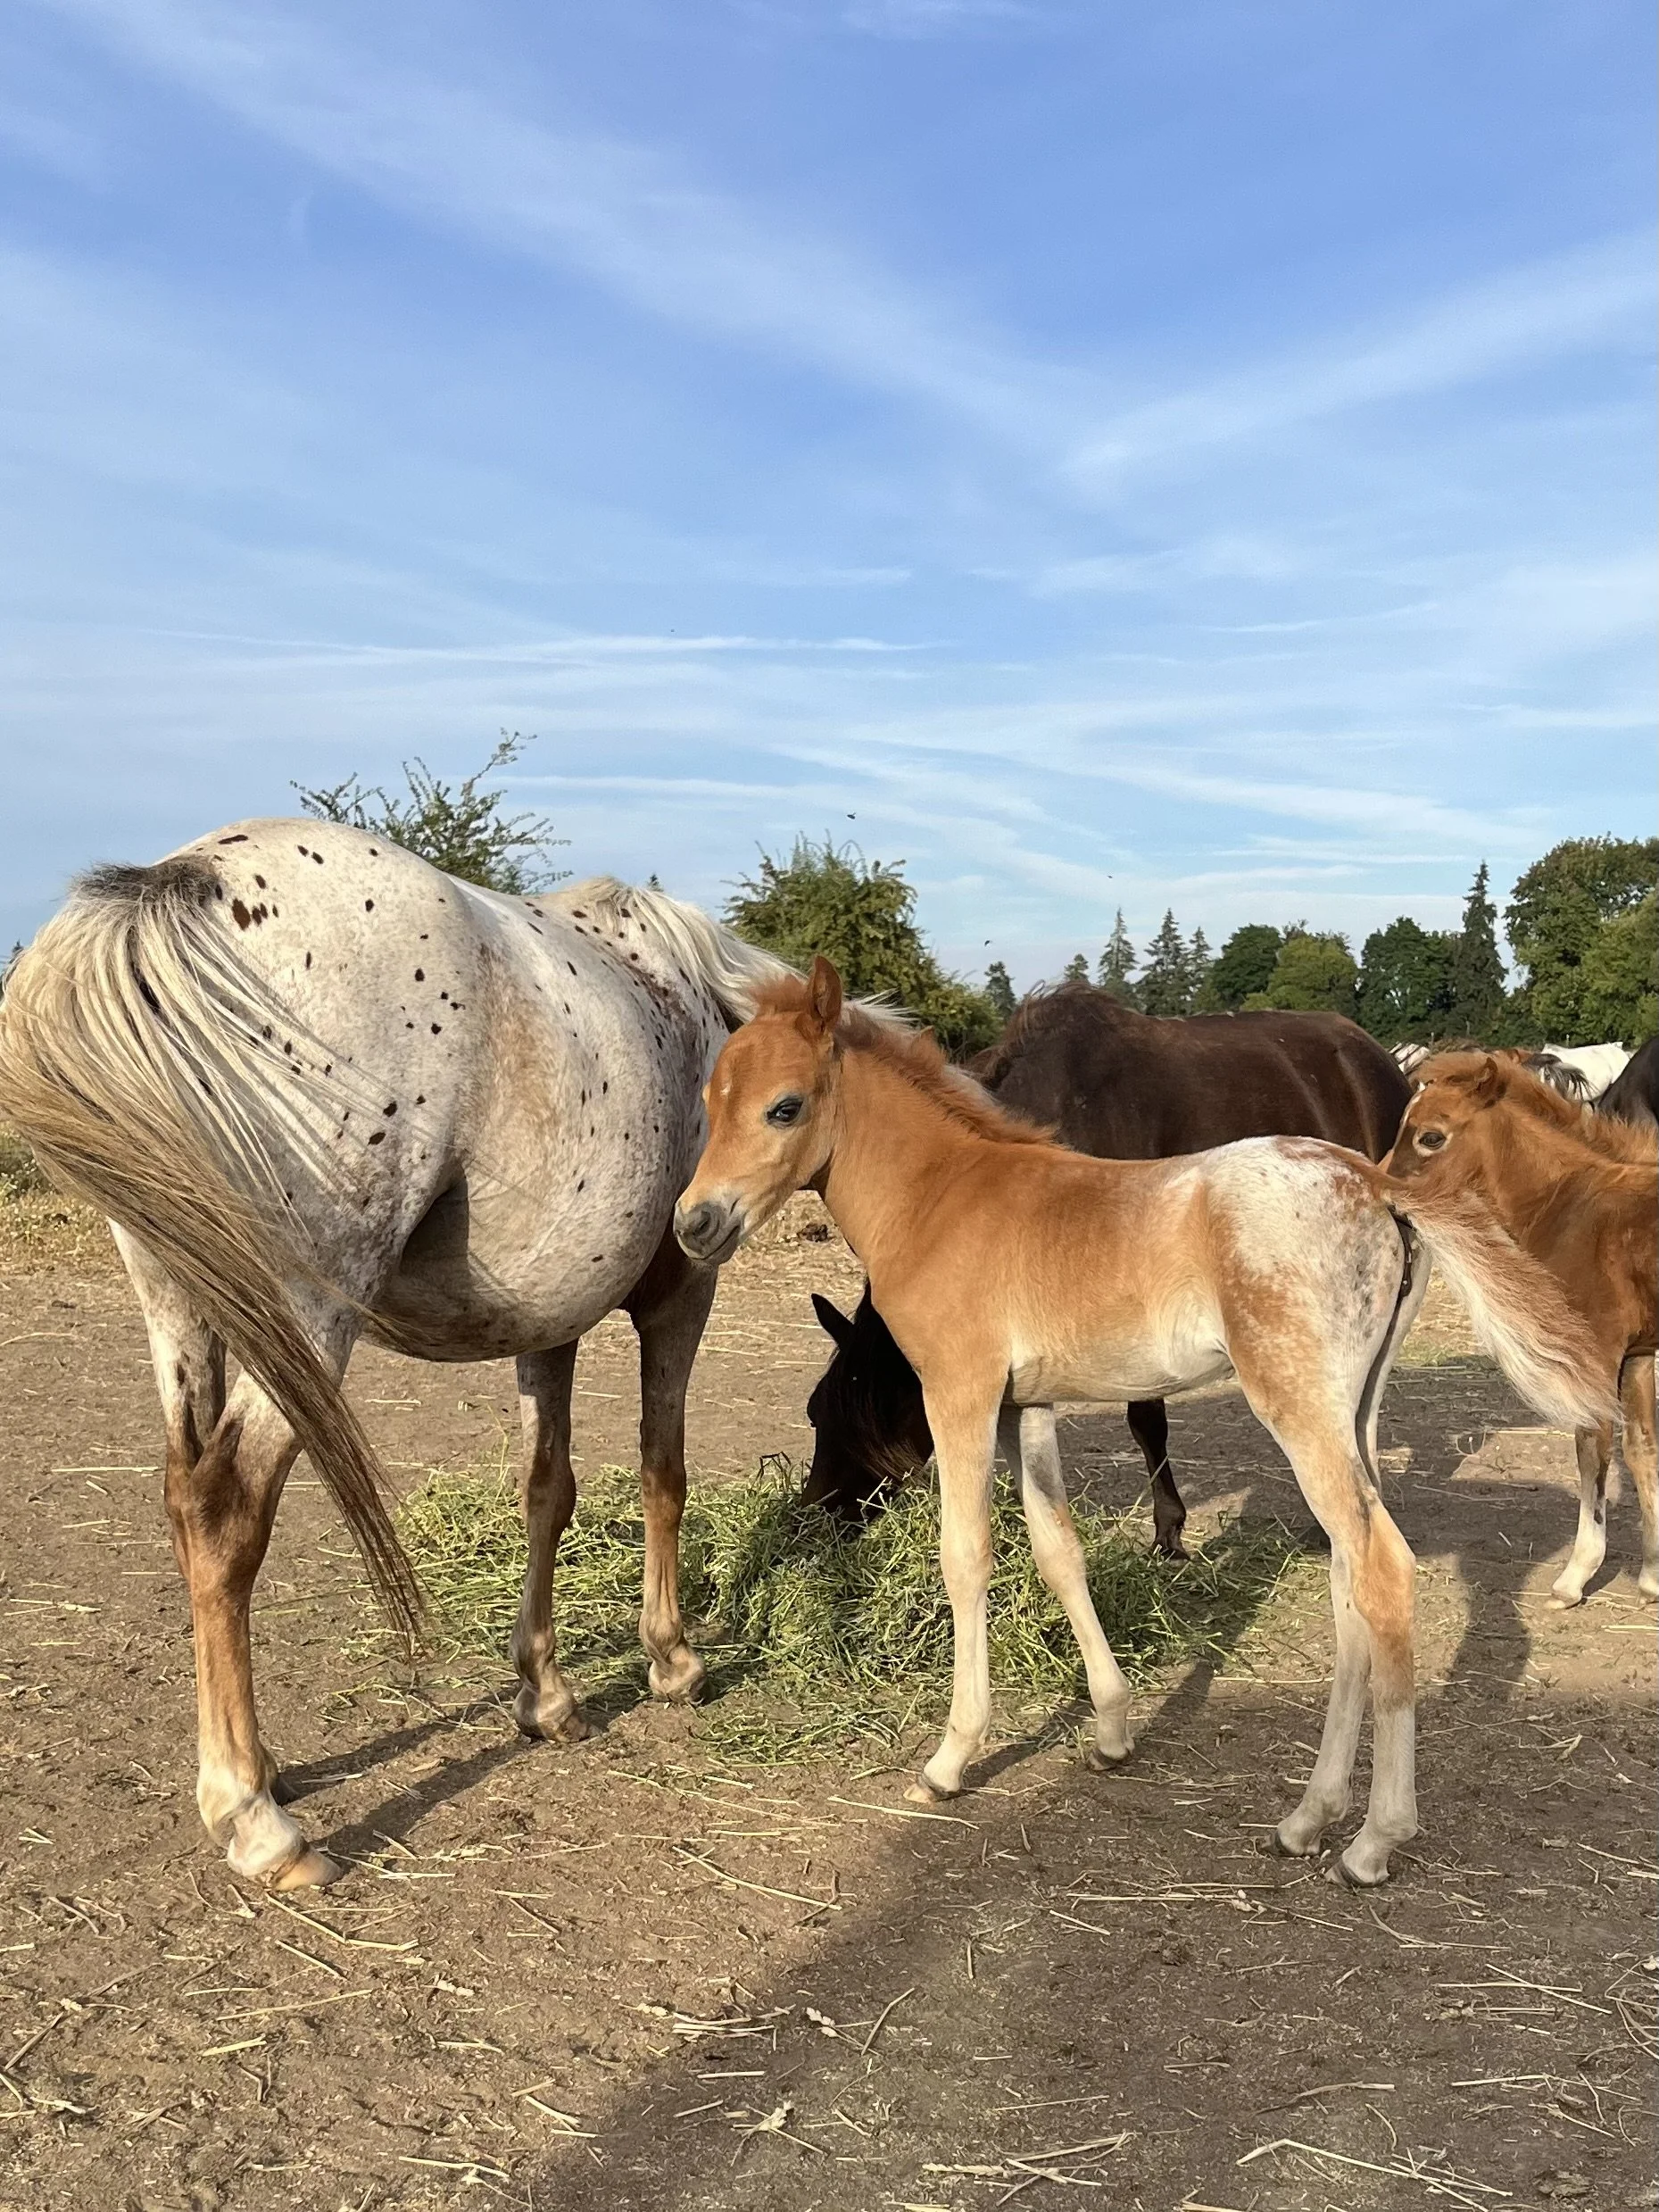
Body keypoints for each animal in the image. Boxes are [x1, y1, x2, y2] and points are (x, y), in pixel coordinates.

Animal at [0, 821, 791, 1889]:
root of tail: (181, 885)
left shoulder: (549, 1324)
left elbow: (547, 1490)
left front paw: (545, 1692)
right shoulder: (678, 1297)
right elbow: (660, 1473)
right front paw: (670, 1659)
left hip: (185, 1304)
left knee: (183, 1492)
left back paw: (261, 1768)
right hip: (302, 1318)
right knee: (226, 1506)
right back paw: (254, 1819)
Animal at [1388, 1052, 1658, 1606]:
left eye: (1430, 1137)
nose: (1381, 1191)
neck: (1575, 1205)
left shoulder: (1592, 1352)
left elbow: (1591, 1449)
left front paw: (1574, 1577)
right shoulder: (1637, 1356)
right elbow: (1642, 1451)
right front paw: (1651, 1575)